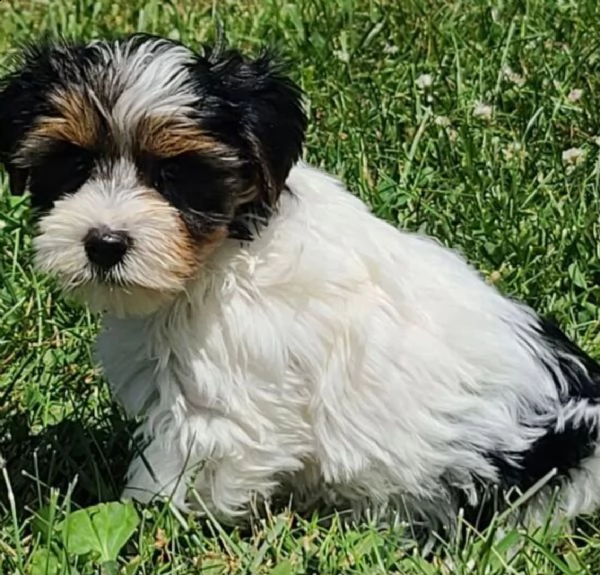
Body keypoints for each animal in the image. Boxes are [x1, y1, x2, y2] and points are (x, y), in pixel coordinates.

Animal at [1, 33, 600, 532]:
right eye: (74, 165)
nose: (104, 243)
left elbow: (176, 477)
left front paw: (154, 526)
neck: (226, 249)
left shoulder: (222, 409)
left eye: (174, 175)